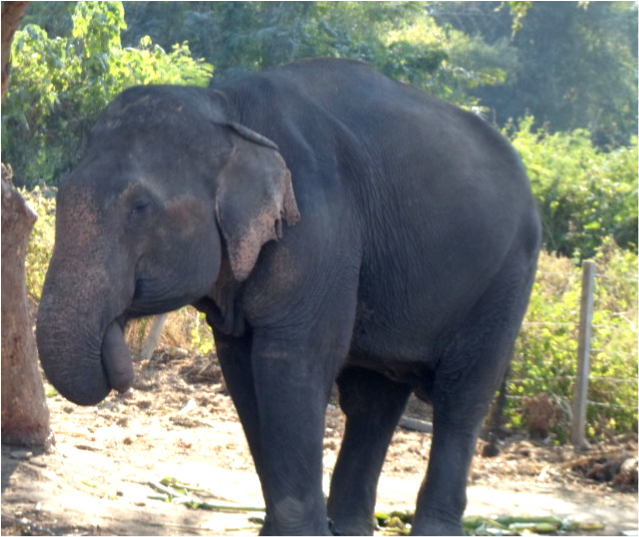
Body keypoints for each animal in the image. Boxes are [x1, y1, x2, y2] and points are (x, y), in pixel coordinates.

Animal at [37, 58, 544, 536]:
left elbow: (292, 364)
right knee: (373, 401)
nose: (119, 332)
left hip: (508, 277)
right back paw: (349, 527)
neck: (228, 108)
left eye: (140, 208)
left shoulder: (322, 229)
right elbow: (243, 373)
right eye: (59, 196)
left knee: (462, 397)